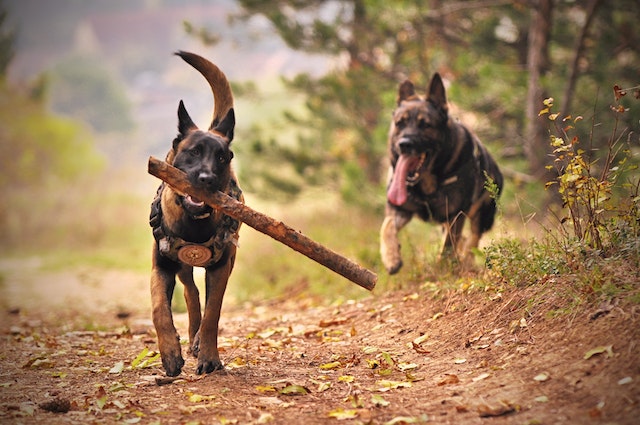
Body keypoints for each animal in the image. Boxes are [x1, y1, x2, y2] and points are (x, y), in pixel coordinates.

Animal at [150, 52, 242, 374]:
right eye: (193, 152)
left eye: (222, 157)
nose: (207, 179)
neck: (194, 223)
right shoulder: (162, 266)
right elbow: (159, 308)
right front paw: (169, 352)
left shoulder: (221, 267)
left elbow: (213, 313)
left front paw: (209, 356)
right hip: (181, 266)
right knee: (191, 292)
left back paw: (199, 342)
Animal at [378, 73, 502, 274]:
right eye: (399, 124)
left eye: (425, 125)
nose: (404, 144)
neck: (426, 183)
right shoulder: (399, 209)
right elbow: (386, 226)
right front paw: (391, 257)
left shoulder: (456, 215)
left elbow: (447, 247)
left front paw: (443, 268)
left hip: (481, 216)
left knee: (472, 240)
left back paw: (466, 262)